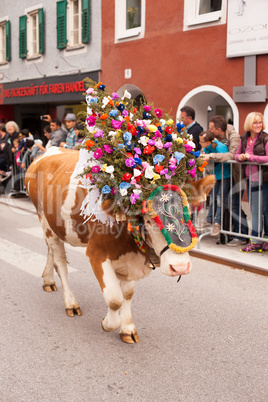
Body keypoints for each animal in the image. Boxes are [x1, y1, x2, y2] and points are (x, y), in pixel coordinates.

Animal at [24, 81, 214, 342]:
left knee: (51, 253)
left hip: (54, 225)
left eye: (190, 214)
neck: (129, 237)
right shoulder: (96, 253)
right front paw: (108, 323)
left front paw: (127, 327)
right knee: (60, 261)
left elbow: (127, 294)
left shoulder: (129, 261)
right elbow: (113, 298)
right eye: (150, 220)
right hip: (45, 221)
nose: (181, 267)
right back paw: (70, 302)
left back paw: (47, 279)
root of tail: (46, 153)